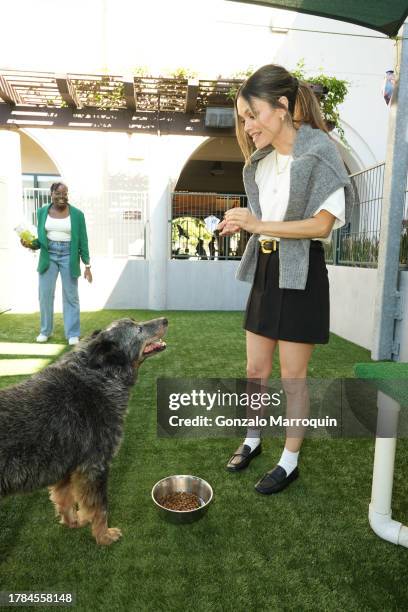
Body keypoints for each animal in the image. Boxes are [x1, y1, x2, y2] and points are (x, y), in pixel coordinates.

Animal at [0, 318, 167, 544]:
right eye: (138, 328)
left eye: (136, 321)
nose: (165, 320)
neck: (96, 377)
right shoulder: (94, 466)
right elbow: (100, 508)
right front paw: (104, 536)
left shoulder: (66, 466)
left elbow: (65, 499)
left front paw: (73, 522)